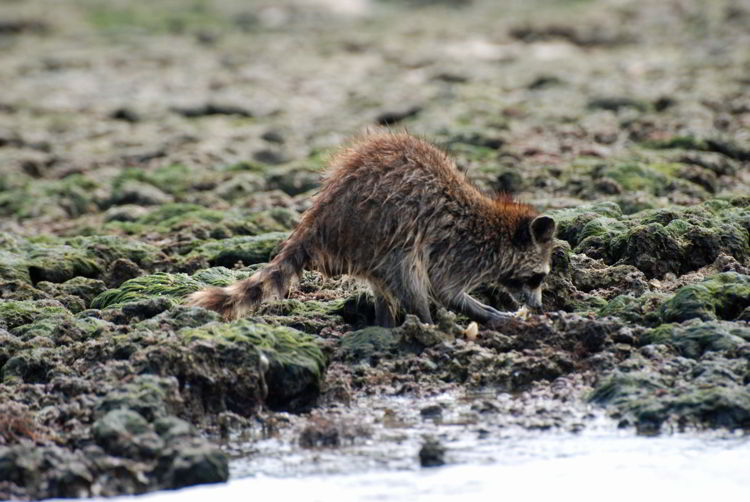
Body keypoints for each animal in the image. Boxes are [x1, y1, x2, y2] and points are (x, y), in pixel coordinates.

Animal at [185, 131, 556, 328]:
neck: (499, 227)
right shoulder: (462, 250)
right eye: (537, 277)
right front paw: (495, 315)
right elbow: (445, 289)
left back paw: (386, 324)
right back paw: (426, 325)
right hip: (384, 228)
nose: (539, 307)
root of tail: (317, 218)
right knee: (408, 268)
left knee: (386, 282)